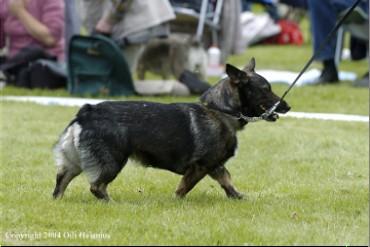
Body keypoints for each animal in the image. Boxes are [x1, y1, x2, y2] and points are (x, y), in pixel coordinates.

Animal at [52, 58, 290, 202]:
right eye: (265, 90)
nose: (287, 107)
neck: (221, 111)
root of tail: (87, 111)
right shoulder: (200, 166)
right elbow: (184, 188)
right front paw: (176, 202)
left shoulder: (215, 166)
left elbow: (227, 182)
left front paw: (238, 198)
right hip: (113, 162)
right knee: (96, 187)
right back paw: (112, 203)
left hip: (74, 162)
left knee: (61, 181)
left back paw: (58, 201)